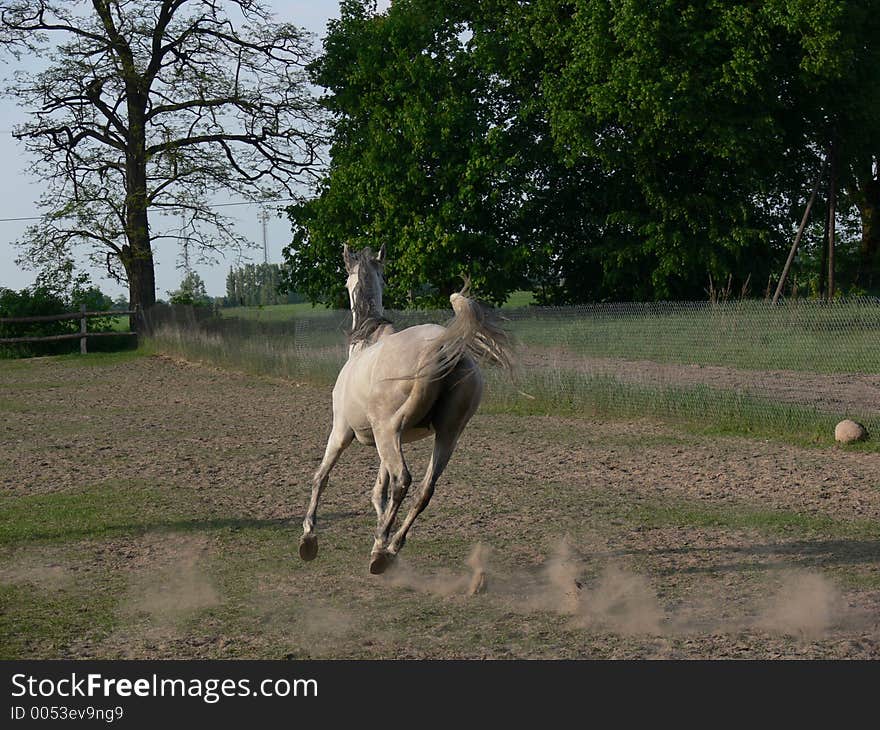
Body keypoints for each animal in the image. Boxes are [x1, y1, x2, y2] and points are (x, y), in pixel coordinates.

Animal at [300, 245, 512, 576]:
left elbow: (321, 476)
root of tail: (441, 347)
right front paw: (381, 530)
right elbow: (379, 491)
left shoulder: (342, 432)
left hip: (388, 433)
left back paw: (379, 551)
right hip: (446, 435)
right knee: (424, 489)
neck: (367, 341)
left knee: (404, 481)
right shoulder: (385, 442)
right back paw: (389, 547)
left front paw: (309, 538)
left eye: (347, 282)